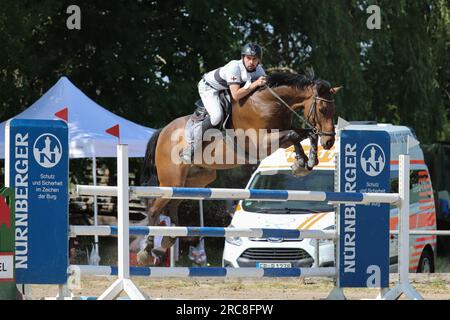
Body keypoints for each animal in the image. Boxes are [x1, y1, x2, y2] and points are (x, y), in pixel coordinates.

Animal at [137, 72, 342, 264]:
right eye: (322, 109)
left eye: (334, 110)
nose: (329, 141)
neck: (270, 102)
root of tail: (162, 131)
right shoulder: (260, 143)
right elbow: (293, 134)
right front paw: (301, 163)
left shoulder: (280, 137)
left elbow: (304, 134)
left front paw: (307, 161)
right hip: (171, 178)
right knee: (154, 209)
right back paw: (146, 251)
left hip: (195, 180)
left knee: (172, 204)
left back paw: (167, 240)